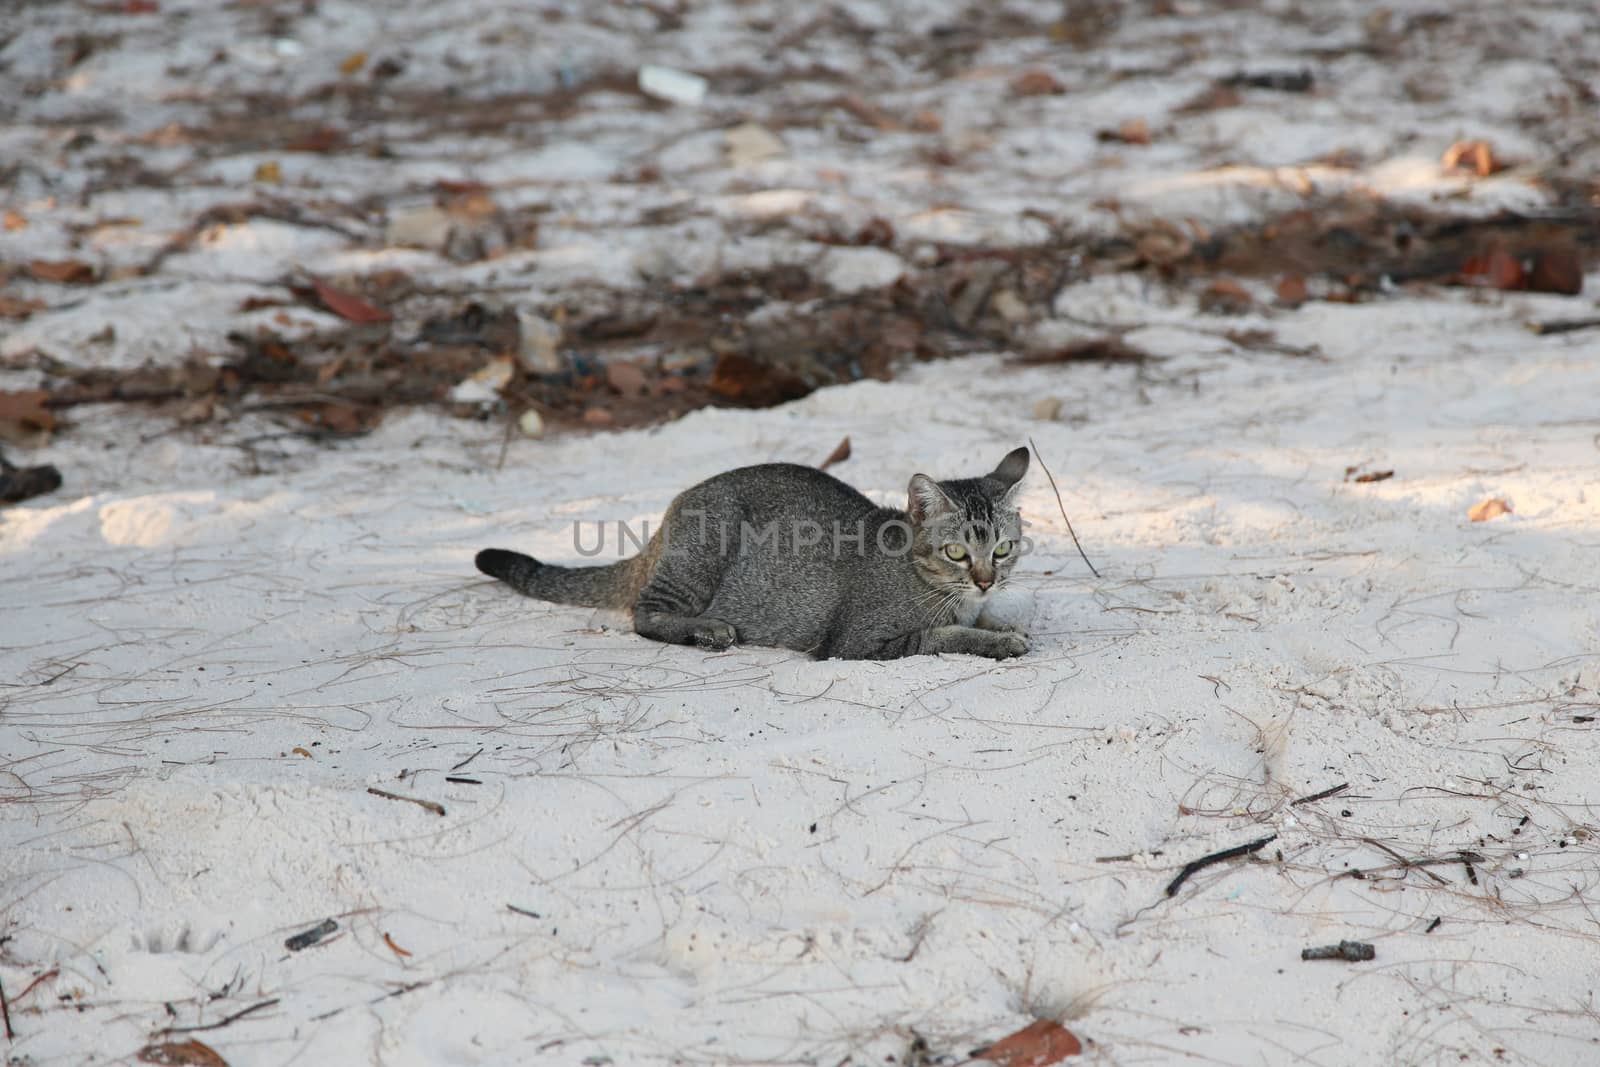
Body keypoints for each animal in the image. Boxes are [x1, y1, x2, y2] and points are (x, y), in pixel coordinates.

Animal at [470, 444, 1036, 659]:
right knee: (644, 614)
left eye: (1003, 549)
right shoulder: (858, 643)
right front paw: (997, 640)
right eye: (957, 553)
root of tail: (677, 504)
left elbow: (980, 618)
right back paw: (705, 630)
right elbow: (943, 636)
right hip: (704, 551)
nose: (986, 579)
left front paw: (1002, 623)